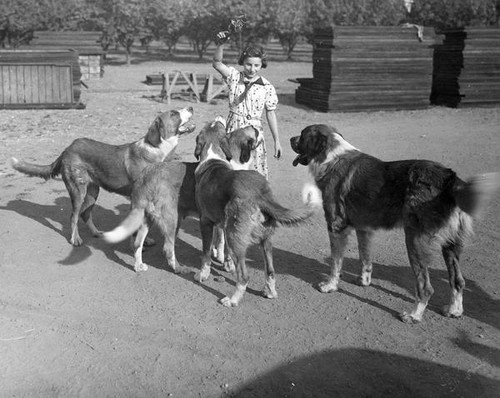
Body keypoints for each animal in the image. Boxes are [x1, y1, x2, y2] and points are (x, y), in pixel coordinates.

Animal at [11, 107, 195, 247]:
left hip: (93, 192)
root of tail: (67, 149)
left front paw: (146, 240)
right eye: (174, 113)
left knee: (85, 214)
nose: (191, 107)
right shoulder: (136, 198)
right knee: (74, 216)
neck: (157, 150)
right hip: (78, 191)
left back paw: (96, 232)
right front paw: (135, 244)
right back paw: (75, 239)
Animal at [193, 119, 322, 306]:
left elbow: (206, 254)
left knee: (244, 276)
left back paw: (232, 300)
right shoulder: (221, 223)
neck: (213, 158)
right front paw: (224, 262)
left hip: (235, 237)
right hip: (265, 239)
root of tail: (260, 193)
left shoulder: (206, 222)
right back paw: (270, 291)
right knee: (270, 270)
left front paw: (203, 274)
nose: (216, 119)